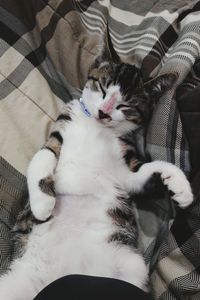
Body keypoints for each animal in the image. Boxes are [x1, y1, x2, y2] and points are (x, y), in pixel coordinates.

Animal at [0, 42, 194, 300]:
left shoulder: (125, 169)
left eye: (126, 104)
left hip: (131, 265)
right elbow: (43, 156)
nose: (104, 112)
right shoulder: (59, 131)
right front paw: (42, 204)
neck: (96, 127)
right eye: (102, 87)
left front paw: (180, 186)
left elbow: (146, 172)